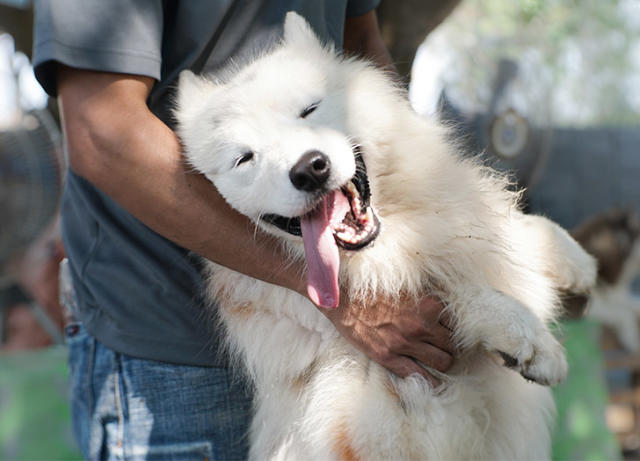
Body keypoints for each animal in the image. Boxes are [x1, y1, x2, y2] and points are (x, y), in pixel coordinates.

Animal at [174, 12, 596, 458]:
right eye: (244, 159)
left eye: (309, 109)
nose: (310, 169)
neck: (392, 245)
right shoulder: (391, 411)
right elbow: (458, 294)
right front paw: (533, 343)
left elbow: (507, 230)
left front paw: (574, 262)